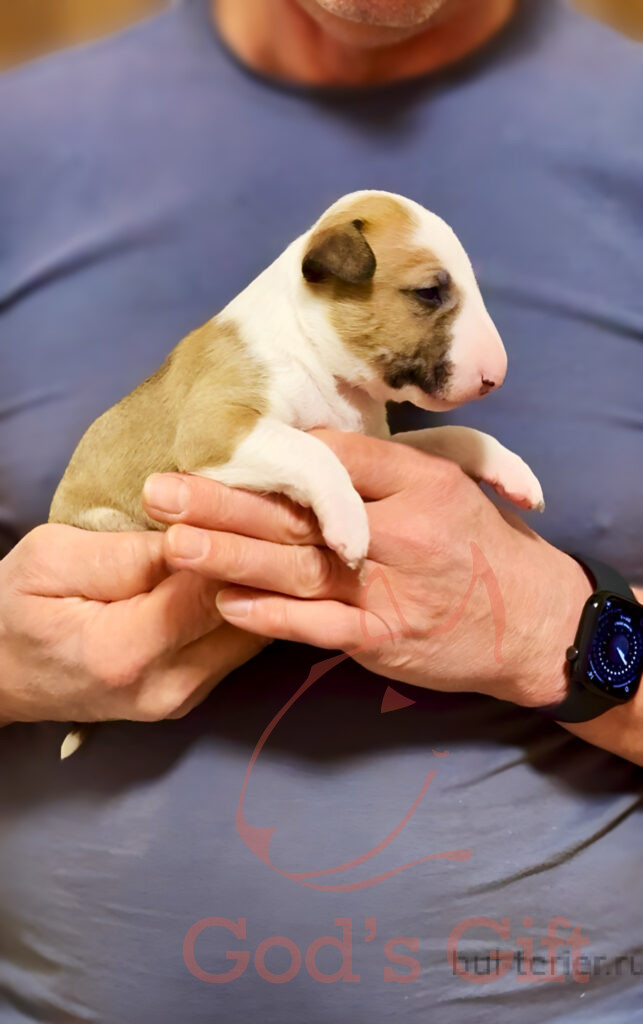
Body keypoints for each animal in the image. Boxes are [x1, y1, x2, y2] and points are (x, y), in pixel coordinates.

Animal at [50, 190, 544, 757]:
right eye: (429, 292)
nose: (496, 377)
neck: (312, 353)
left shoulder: (377, 442)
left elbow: (454, 436)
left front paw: (512, 470)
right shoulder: (216, 429)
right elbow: (312, 450)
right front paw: (349, 525)